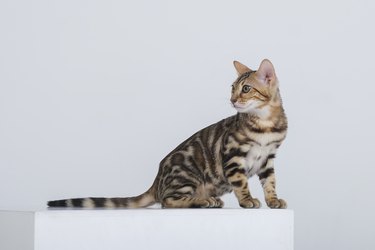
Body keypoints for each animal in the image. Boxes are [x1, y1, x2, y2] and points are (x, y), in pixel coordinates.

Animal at [47, 58, 288, 209]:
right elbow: (241, 183)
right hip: (187, 174)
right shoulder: (232, 155)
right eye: (232, 87)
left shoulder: (268, 159)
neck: (266, 124)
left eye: (246, 89)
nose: (232, 100)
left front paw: (273, 201)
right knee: (167, 201)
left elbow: (270, 182)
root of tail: (156, 181)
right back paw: (202, 201)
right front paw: (247, 200)